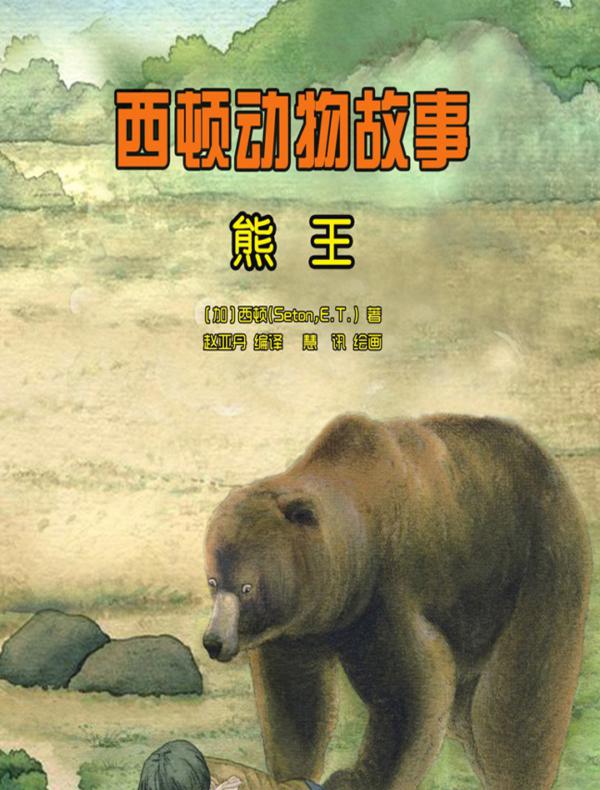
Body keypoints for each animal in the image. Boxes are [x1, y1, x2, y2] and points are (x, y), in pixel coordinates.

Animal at [202, 413, 592, 790]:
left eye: (246, 588)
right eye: (213, 581)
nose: (213, 641)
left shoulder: (387, 594)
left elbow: (411, 693)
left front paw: (353, 778)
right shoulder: (299, 627)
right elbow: (295, 699)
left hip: (538, 564)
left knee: (516, 706)